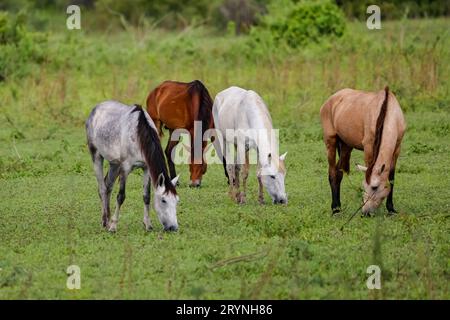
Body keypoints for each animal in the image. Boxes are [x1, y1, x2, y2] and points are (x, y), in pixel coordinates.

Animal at [85, 100, 179, 232]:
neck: (138, 134)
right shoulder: (125, 168)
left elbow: (146, 196)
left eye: (176, 201)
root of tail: (95, 109)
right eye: (163, 200)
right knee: (102, 189)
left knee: (108, 186)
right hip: (97, 156)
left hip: (114, 164)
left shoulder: (146, 168)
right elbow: (121, 196)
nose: (173, 227)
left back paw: (107, 219)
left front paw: (148, 225)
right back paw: (105, 222)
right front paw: (113, 226)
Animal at [320, 86, 408, 216]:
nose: (365, 212)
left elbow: (391, 179)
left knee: (338, 172)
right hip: (330, 142)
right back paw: (335, 209)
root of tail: (332, 98)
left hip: (346, 146)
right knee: (332, 173)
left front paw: (391, 209)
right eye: (364, 186)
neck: (387, 111)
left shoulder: (397, 149)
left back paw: (338, 207)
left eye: (375, 187)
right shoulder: (368, 148)